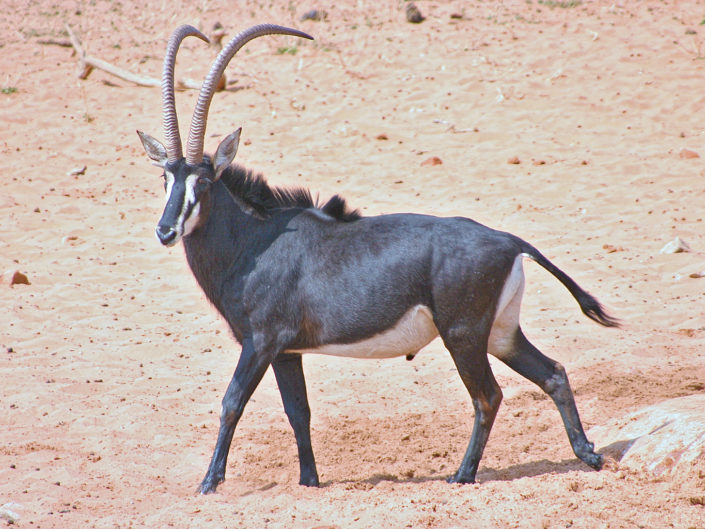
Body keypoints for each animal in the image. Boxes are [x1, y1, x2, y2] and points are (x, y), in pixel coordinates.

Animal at [137, 24, 618, 494]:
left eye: (204, 182)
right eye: (166, 178)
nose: (166, 231)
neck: (256, 239)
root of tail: (509, 240)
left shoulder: (261, 342)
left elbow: (231, 403)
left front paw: (209, 483)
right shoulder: (287, 353)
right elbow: (299, 413)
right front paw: (309, 482)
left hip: (462, 336)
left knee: (488, 396)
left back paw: (462, 475)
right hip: (500, 333)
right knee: (552, 372)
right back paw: (588, 455)